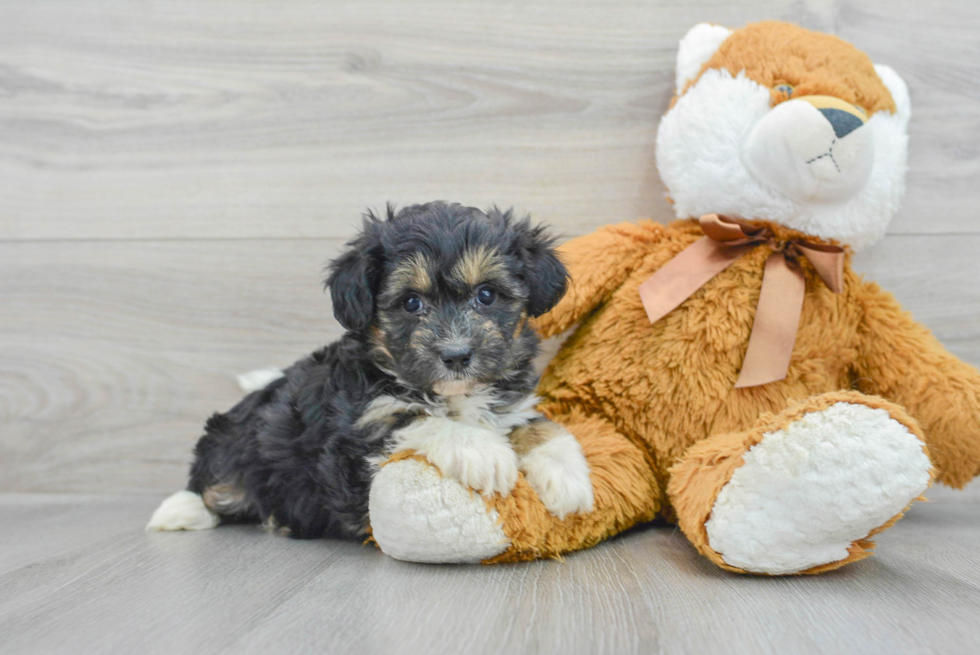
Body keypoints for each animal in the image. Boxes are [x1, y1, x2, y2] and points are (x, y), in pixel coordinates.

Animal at [148, 202, 592, 540]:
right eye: (411, 302)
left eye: (487, 295)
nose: (456, 355)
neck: (449, 393)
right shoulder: (356, 439)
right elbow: (415, 418)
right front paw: (482, 451)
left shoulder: (510, 403)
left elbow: (537, 425)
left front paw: (566, 474)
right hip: (232, 439)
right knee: (212, 481)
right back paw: (181, 510)